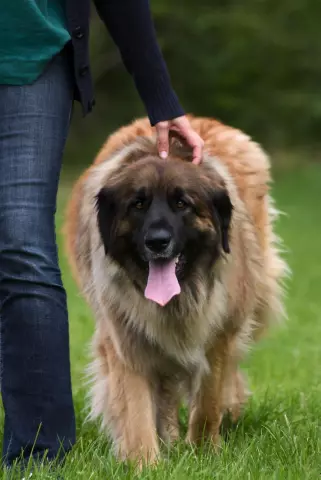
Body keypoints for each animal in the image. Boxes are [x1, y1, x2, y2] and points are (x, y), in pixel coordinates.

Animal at [63, 115, 286, 464]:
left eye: (182, 204)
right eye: (138, 204)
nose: (157, 241)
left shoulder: (218, 330)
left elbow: (208, 397)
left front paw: (204, 452)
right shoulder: (125, 334)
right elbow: (137, 407)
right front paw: (144, 462)